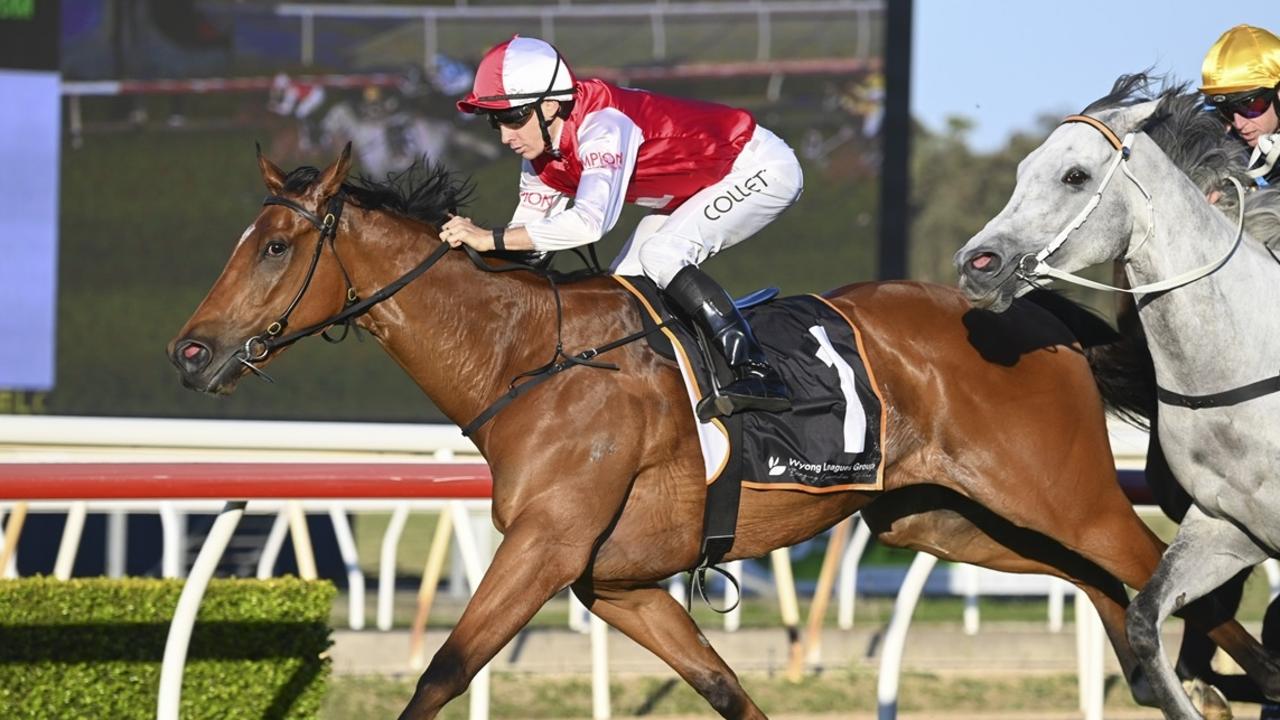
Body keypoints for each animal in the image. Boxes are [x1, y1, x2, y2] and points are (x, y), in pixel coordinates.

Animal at [172, 142, 1280, 712]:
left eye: (274, 247)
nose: (189, 352)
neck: (528, 359)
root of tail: (1035, 313)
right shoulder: (614, 582)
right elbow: (723, 688)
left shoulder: (544, 547)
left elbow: (443, 674)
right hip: (951, 519)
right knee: (1114, 589)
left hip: (1064, 495)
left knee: (1153, 577)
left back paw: (1234, 675)